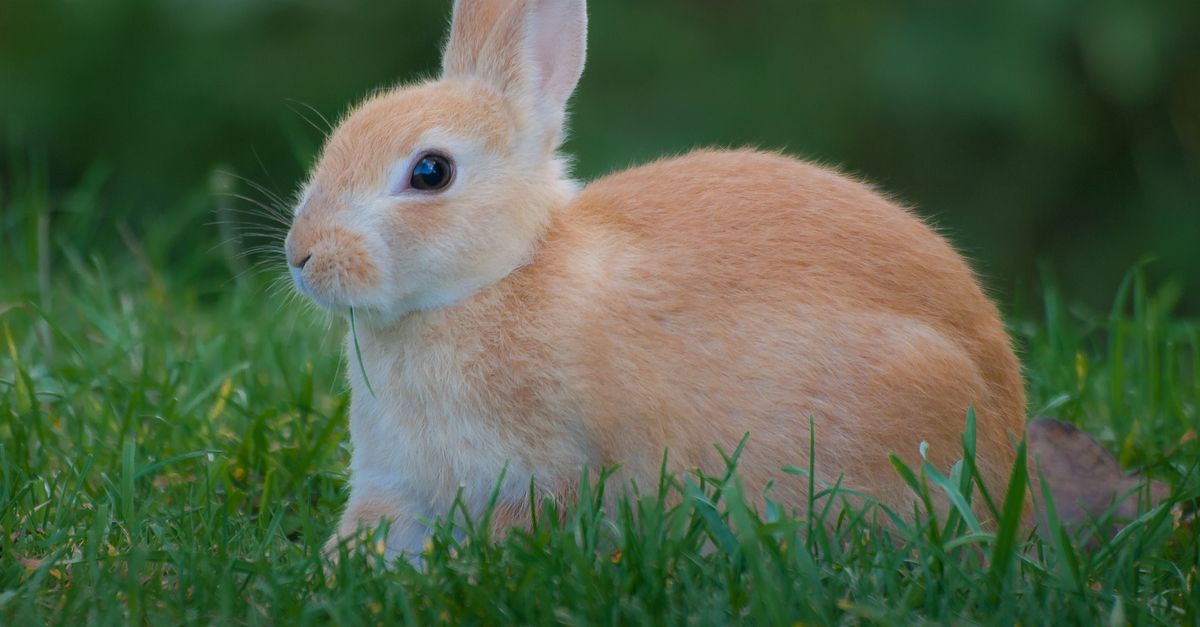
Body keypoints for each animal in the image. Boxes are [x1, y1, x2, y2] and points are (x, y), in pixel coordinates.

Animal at [284, 0, 1033, 561]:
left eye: (430, 172)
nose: (302, 255)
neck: (501, 275)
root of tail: (1009, 428)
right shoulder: (395, 483)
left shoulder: (541, 474)